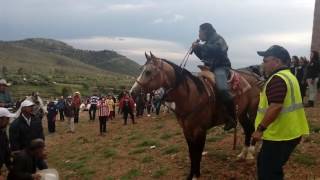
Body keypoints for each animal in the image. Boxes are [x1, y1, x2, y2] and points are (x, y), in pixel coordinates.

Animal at [130, 52, 262, 179]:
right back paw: (243, 154)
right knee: (248, 129)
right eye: (142, 69)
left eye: (148, 72)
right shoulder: (187, 130)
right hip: (242, 114)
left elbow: (198, 153)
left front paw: (196, 175)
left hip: (253, 110)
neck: (192, 96)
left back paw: (251, 152)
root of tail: (255, 77)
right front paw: (191, 175)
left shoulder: (200, 131)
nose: (132, 92)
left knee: (253, 128)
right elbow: (191, 152)